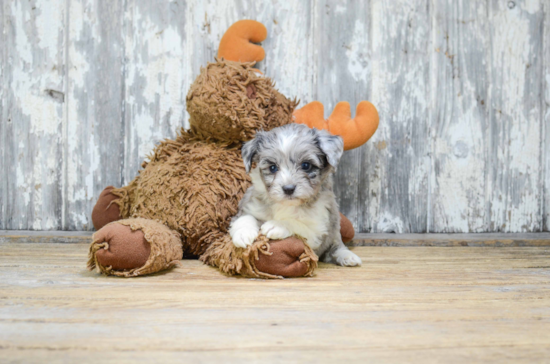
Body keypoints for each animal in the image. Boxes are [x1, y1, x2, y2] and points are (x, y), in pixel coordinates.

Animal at [229, 123, 362, 266]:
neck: (286, 205)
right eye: (272, 167)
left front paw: (277, 224)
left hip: (334, 234)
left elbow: (297, 224)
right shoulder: (250, 206)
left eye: (306, 165)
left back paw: (348, 256)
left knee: (336, 247)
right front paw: (243, 233)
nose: (288, 189)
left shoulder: (317, 229)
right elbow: (245, 217)